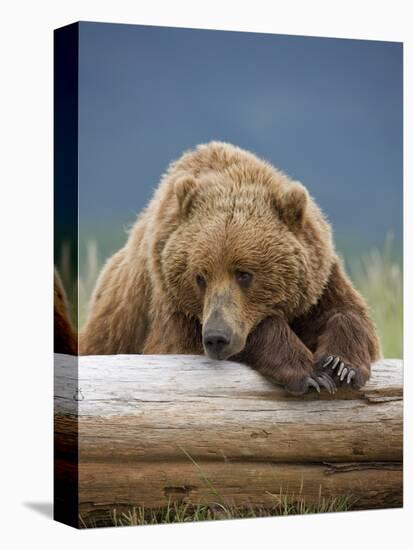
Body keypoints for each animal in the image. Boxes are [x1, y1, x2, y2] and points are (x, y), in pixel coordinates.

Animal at [79, 140, 380, 394]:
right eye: (200, 277)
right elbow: (182, 346)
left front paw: (341, 365)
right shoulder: (172, 305)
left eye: (244, 274)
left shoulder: (319, 280)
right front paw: (310, 373)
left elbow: (348, 313)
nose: (216, 337)